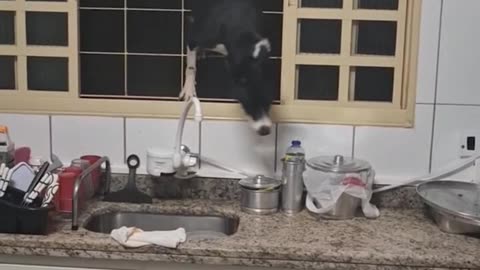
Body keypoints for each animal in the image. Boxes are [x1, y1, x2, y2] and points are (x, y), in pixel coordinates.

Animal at [182, 0, 274, 135]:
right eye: (249, 104)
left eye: (269, 103)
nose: (265, 130)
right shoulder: (195, 39)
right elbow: (191, 66)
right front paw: (189, 88)